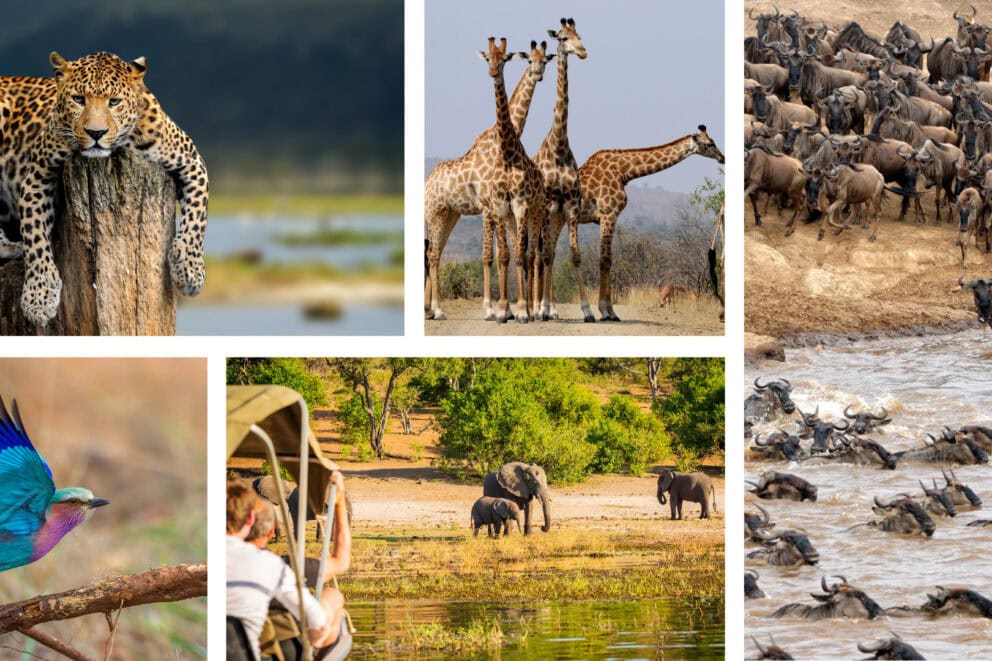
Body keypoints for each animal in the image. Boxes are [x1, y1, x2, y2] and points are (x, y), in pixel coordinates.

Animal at [424, 41, 554, 321]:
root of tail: (426, 183)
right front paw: (492, 308)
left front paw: (509, 309)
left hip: (450, 214)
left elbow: (501, 252)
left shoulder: (497, 208)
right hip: (436, 213)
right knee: (433, 254)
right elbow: (489, 256)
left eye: (545, 61)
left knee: (434, 252)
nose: (538, 74)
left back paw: (429, 308)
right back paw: (437, 309)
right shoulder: (487, 206)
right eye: (530, 61)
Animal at [576, 126, 725, 321]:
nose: (722, 157)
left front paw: (608, 311)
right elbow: (605, 260)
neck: (623, 172)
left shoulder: (607, 217)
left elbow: (607, 259)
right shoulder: (608, 214)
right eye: (710, 144)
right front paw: (607, 312)